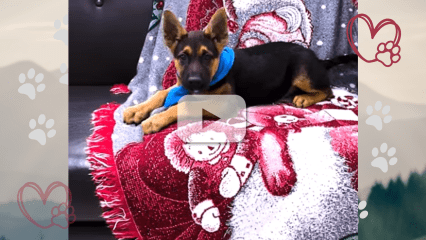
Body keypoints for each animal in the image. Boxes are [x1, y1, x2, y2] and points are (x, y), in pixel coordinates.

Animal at [123, 7, 356, 134]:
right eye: (182, 57)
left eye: (207, 57)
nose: (195, 82)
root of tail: (319, 59)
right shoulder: (181, 83)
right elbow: (161, 93)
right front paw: (137, 110)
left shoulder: (225, 102)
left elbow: (184, 104)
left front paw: (155, 119)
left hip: (302, 72)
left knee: (328, 91)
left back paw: (304, 98)